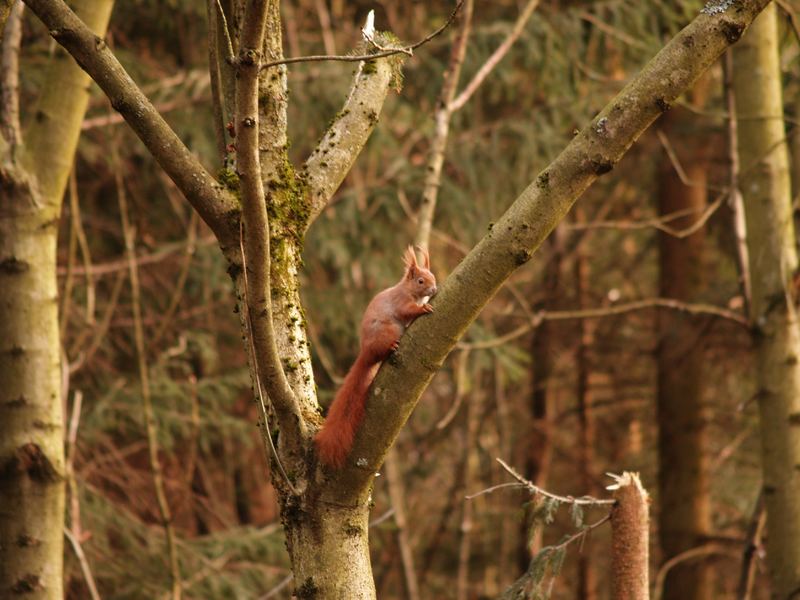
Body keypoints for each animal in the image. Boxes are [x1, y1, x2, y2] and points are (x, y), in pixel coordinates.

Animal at [316, 245, 438, 468]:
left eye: (433, 276)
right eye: (420, 281)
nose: (434, 290)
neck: (408, 290)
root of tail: (366, 353)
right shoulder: (400, 302)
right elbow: (408, 310)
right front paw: (423, 308)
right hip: (387, 331)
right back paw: (391, 346)